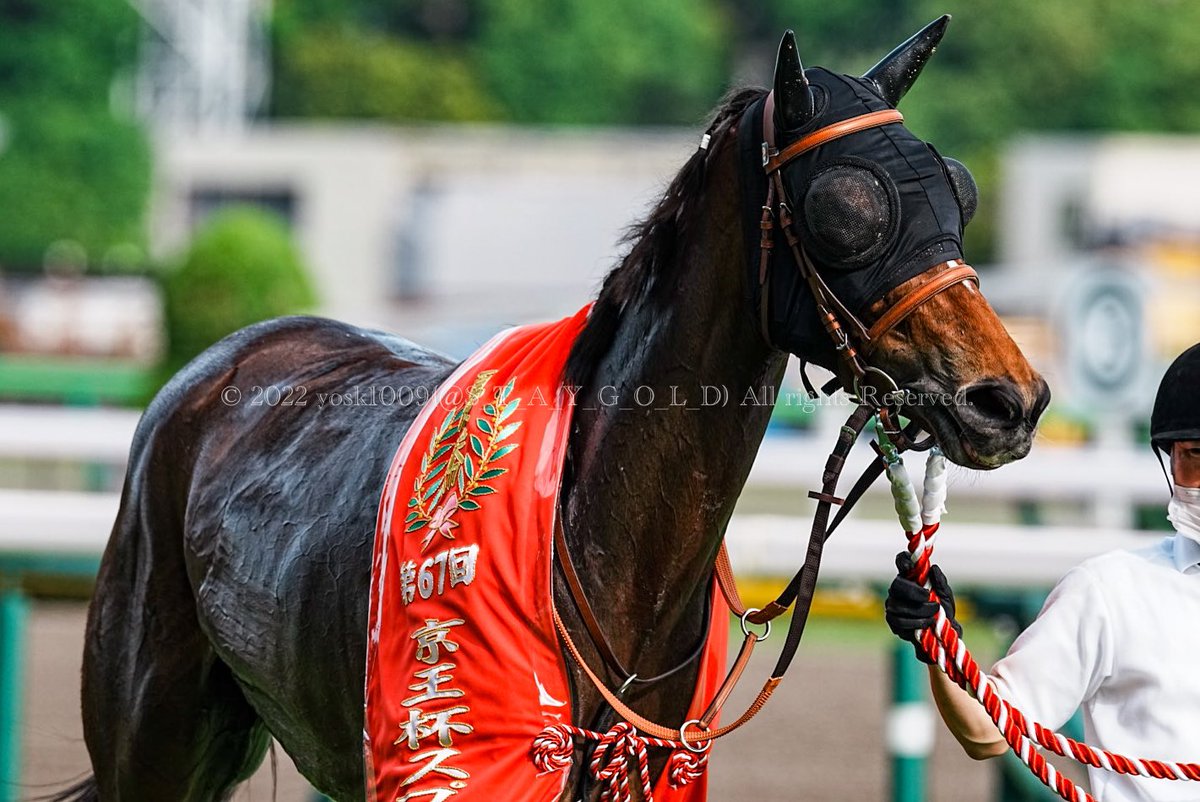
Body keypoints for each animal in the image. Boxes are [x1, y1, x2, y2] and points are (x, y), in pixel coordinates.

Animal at [57, 16, 1049, 801]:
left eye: (955, 185)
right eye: (847, 208)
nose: (1009, 398)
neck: (608, 545)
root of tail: (216, 368)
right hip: (153, 735)